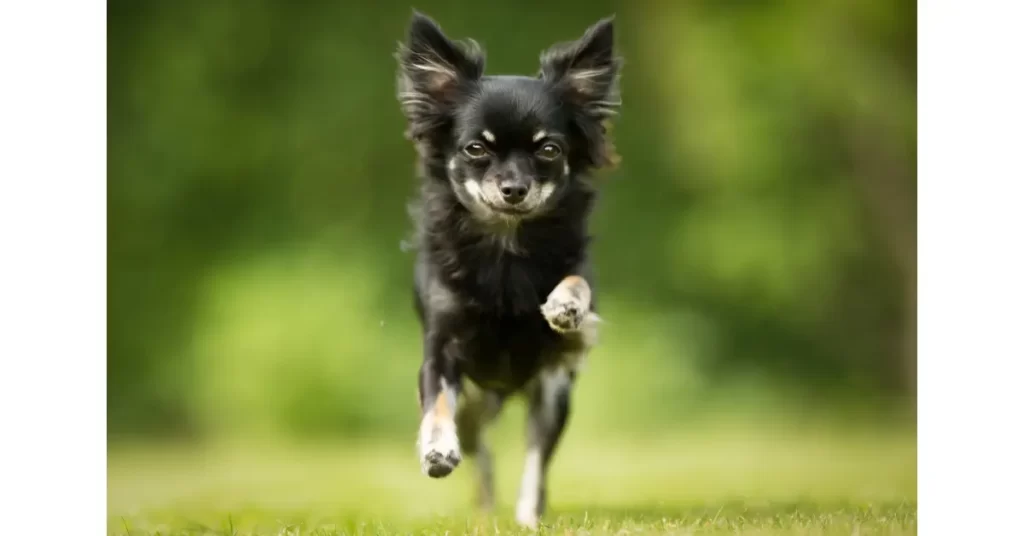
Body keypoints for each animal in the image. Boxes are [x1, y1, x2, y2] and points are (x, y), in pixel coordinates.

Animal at [393, 11, 618, 528]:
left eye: (549, 150)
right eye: (476, 149)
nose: (513, 188)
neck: (506, 246)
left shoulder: (563, 355)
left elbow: (576, 283)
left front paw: (565, 304)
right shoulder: (442, 352)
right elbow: (436, 403)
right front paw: (437, 448)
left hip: (551, 397)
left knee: (536, 459)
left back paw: (527, 516)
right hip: (478, 403)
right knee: (479, 448)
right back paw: (483, 499)